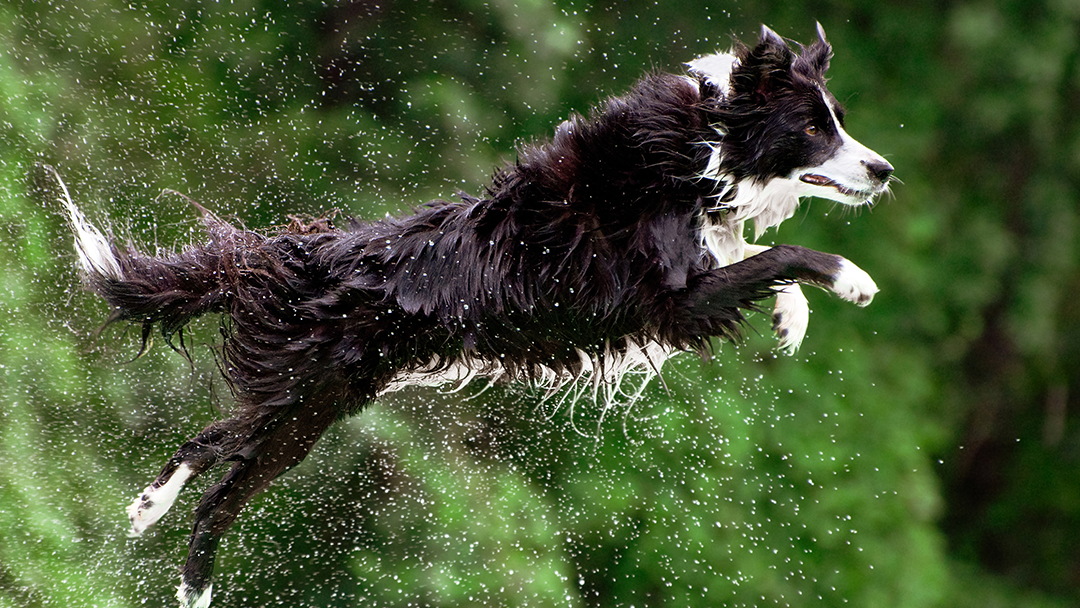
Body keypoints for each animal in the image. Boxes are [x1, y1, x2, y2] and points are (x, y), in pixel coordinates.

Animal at [56, 24, 894, 608]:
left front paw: (792, 318)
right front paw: (851, 280)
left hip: (320, 402)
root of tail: (310, 254)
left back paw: (157, 529)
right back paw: (181, 563)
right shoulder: (671, 302)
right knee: (218, 477)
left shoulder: (696, 273)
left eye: (839, 119)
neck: (704, 148)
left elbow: (753, 255)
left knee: (216, 454)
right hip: (307, 395)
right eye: (813, 127)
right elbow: (782, 252)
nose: (885, 169)